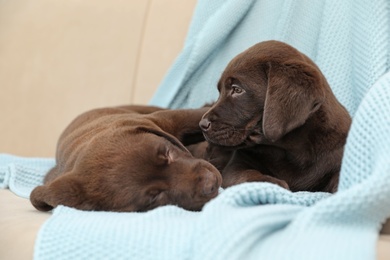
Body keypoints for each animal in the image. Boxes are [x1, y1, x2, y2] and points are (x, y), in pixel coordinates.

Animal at [198, 39, 350, 192]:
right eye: (220, 91)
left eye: (237, 89)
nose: (202, 125)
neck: (289, 149)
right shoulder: (235, 167)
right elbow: (247, 175)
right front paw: (273, 182)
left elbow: (338, 179)